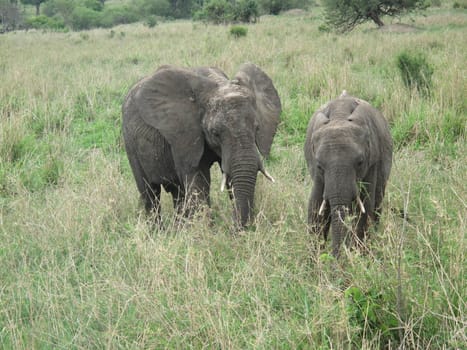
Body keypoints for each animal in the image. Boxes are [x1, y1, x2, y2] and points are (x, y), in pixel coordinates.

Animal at [122, 63, 282, 227]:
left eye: (257, 128)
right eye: (215, 133)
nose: (234, 227)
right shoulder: (184, 135)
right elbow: (198, 181)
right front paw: (206, 229)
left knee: (177, 192)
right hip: (129, 141)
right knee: (149, 193)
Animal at [306, 91, 394, 258]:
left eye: (360, 162)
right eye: (320, 166)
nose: (336, 260)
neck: (339, 116)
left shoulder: (372, 161)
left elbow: (364, 207)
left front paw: (360, 258)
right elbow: (316, 207)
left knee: (377, 204)